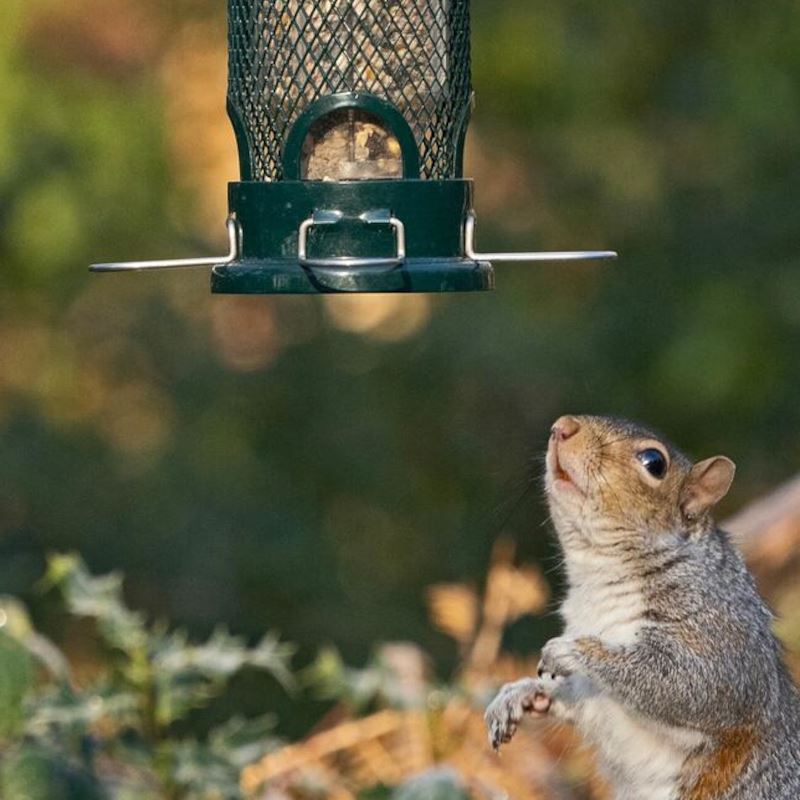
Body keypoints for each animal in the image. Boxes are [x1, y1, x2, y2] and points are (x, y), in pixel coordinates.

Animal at [484, 416, 800, 800]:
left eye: (654, 462)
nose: (563, 426)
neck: (600, 575)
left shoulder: (720, 633)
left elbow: (692, 682)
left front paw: (570, 651)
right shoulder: (594, 693)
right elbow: (579, 698)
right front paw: (524, 693)